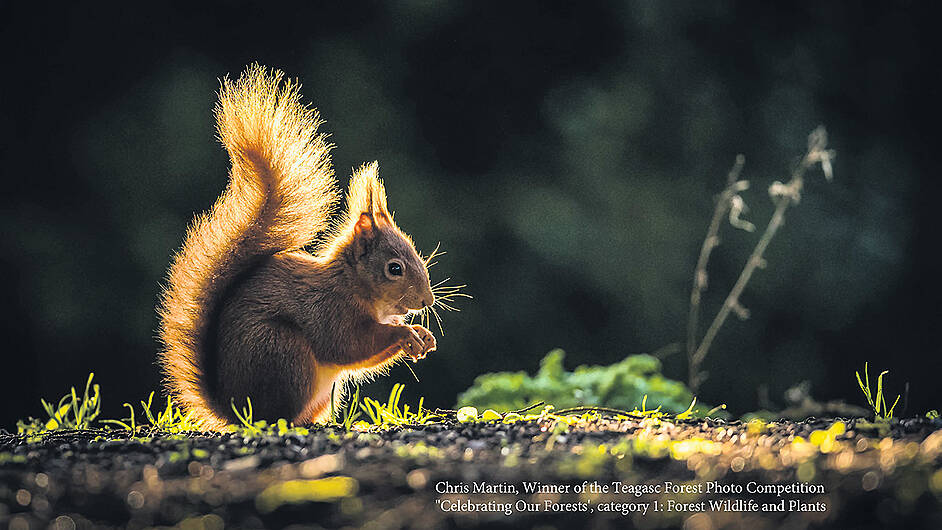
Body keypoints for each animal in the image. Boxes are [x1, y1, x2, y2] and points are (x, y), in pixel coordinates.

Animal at [158, 65, 438, 428]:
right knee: (277, 415)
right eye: (394, 269)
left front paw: (423, 335)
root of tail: (233, 408)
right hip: (284, 354)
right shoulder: (330, 311)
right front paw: (405, 334)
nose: (427, 301)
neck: (352, 284)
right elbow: (350, 346)